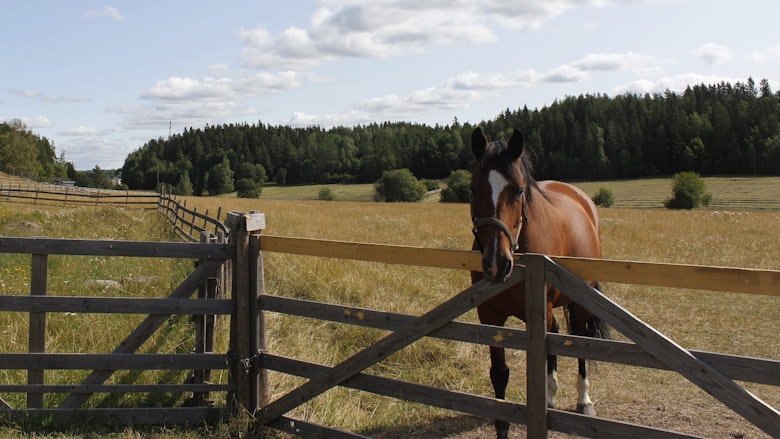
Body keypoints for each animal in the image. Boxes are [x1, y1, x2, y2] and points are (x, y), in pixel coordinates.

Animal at [470, 128, 608, 439]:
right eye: (473, 189)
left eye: (519, 190)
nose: (497, 263)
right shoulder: (489, 315)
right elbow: (499, 373)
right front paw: (502, 428)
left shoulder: (539, 309)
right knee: (556, 334)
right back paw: (551, 396)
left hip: (578, 301)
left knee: (578, 339)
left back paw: (584, 400)